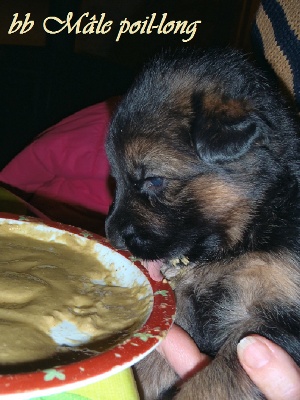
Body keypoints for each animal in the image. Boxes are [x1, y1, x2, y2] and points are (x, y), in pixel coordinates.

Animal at [105, 50, 300, 400]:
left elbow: (211, 383)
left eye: (154, 180)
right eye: (114, 179)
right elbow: (151, 361)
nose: (112, 236)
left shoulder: (273, 322)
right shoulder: (181, 302)